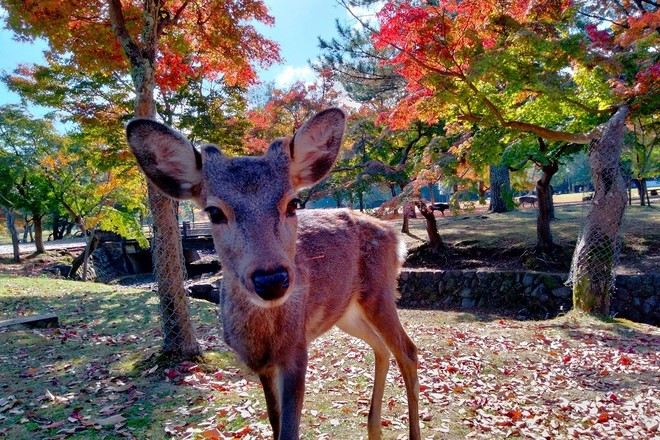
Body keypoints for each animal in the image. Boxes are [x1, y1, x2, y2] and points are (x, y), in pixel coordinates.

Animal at [126, 108, 420, 440]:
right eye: (214, 212)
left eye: (293, 203)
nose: (271, 280)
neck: (262, 341)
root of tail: (396, 238)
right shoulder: (261, 366)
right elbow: (274, 421)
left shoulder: (297, 349)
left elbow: (289, 430)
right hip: (346, 312)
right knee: (381, 348)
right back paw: (373, 429)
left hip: (379, 292)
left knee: (408, 350)